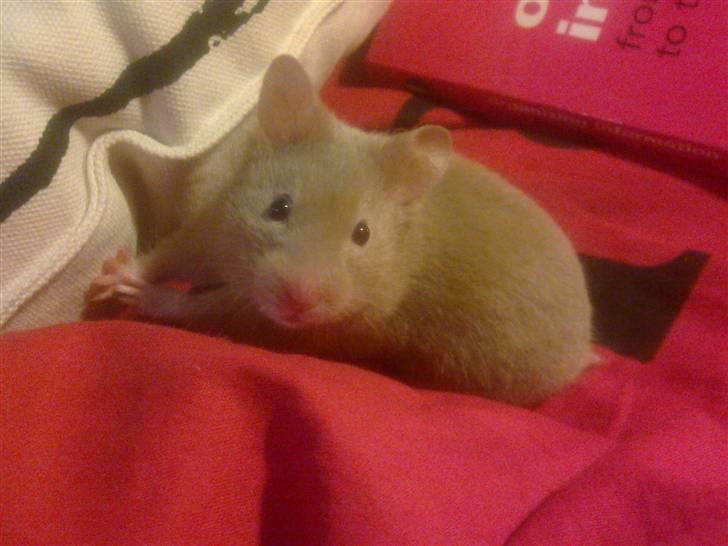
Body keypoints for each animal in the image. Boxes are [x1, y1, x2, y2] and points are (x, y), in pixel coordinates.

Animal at [89, 55, 593, 406]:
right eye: (279, 206)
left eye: (362, 234)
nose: (299, 300)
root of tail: (585, 345)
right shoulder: (210, 227)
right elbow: (169, 254)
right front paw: (111, 276)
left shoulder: (270, 326)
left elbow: (193, 306)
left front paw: (138, 295)